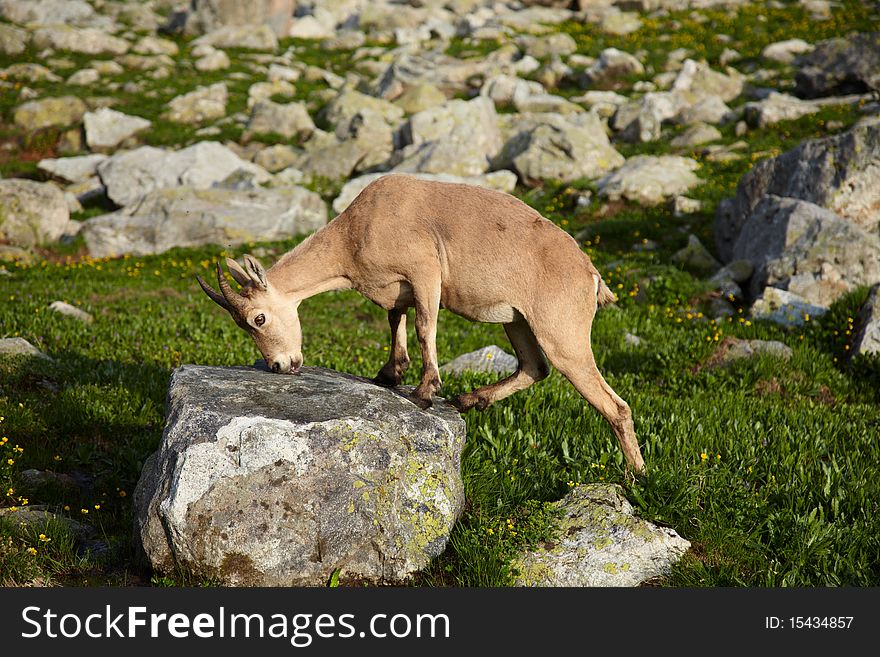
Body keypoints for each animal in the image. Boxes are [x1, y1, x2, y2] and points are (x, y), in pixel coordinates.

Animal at [196, 174, 644, 472]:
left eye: (258, 317)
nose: (280, 365)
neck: (354, 236)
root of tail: (590, 275)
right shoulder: (398, 289)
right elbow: (396, 318)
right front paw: (390, 373)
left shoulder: (426, 272)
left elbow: (425, 326)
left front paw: (425, 391)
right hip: (517, 321)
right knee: (534, 367)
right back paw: (469, 400)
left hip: (562, 330)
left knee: (614, 404)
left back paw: (634, 476)